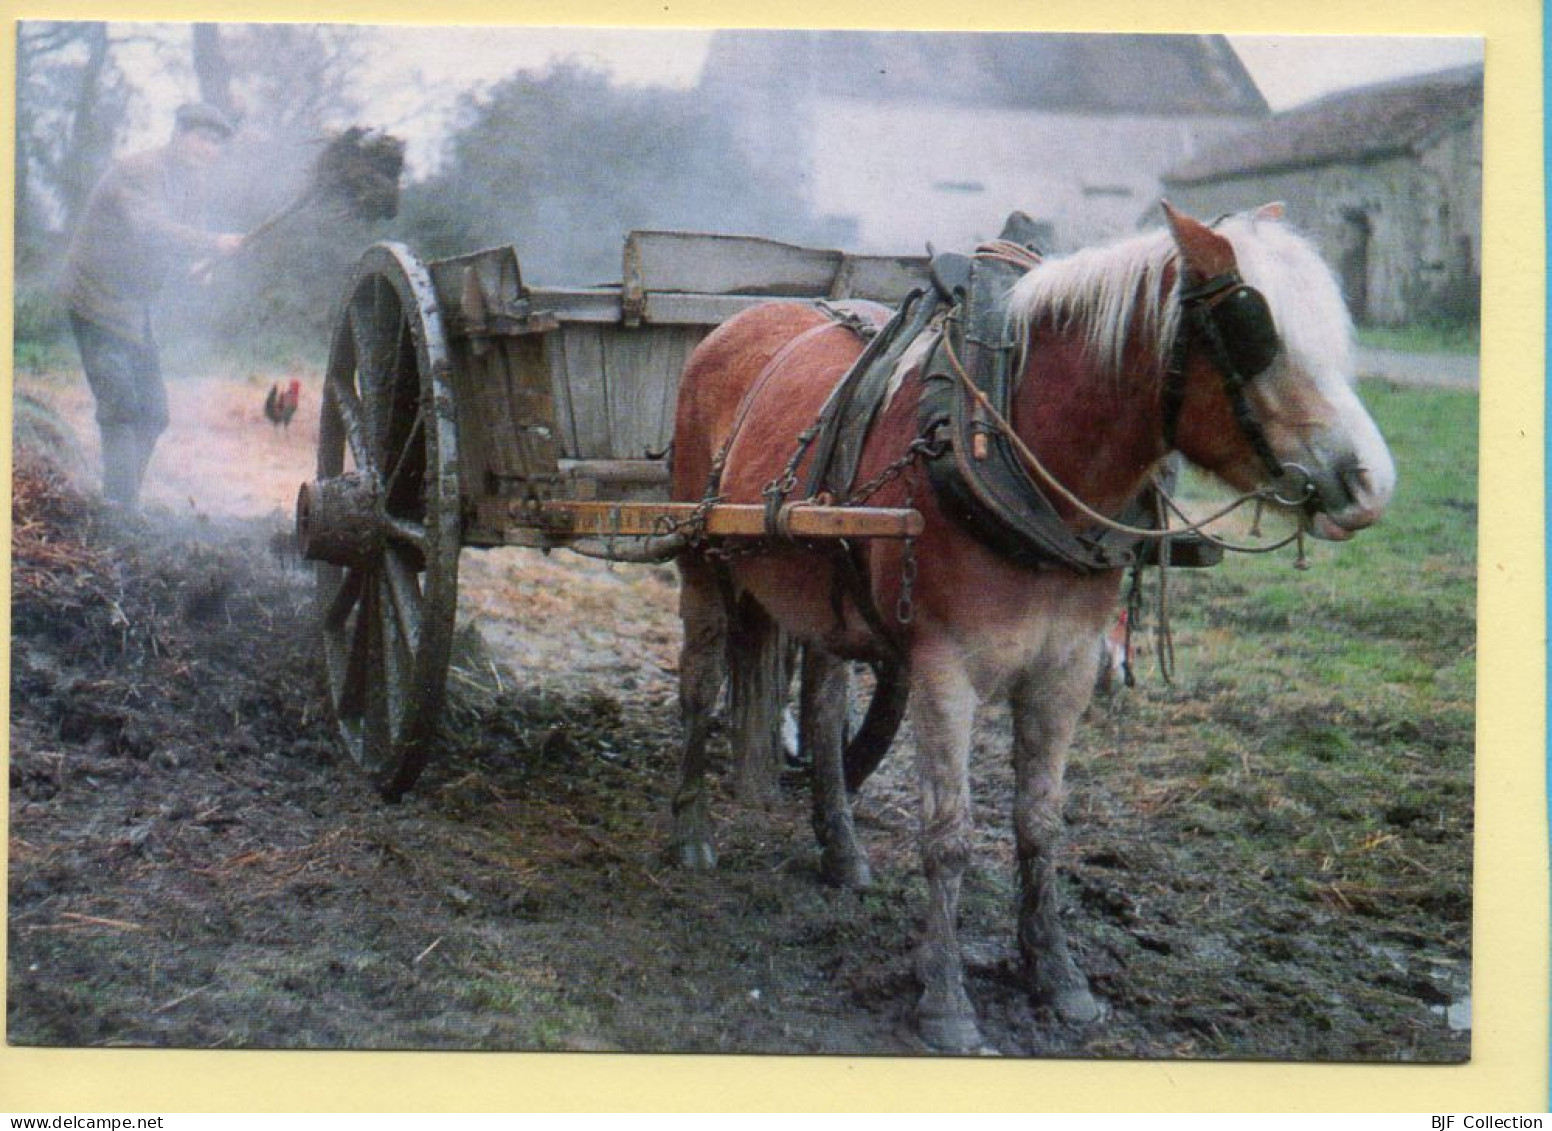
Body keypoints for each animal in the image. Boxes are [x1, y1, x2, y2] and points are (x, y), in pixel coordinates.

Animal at [667, 204, 1396, 1048]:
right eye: (1254, 329)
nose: (1371, 483)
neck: (1022, 445)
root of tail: (736, 321)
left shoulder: (1066, 668)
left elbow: (1041, 821)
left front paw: (1057, 973)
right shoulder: (943, 670)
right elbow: (948, 832)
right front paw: (946, 998)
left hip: (827, 590)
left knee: (819, 709)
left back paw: (841, 849)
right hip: (702, 560)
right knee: (700, 688)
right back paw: (690, 831)